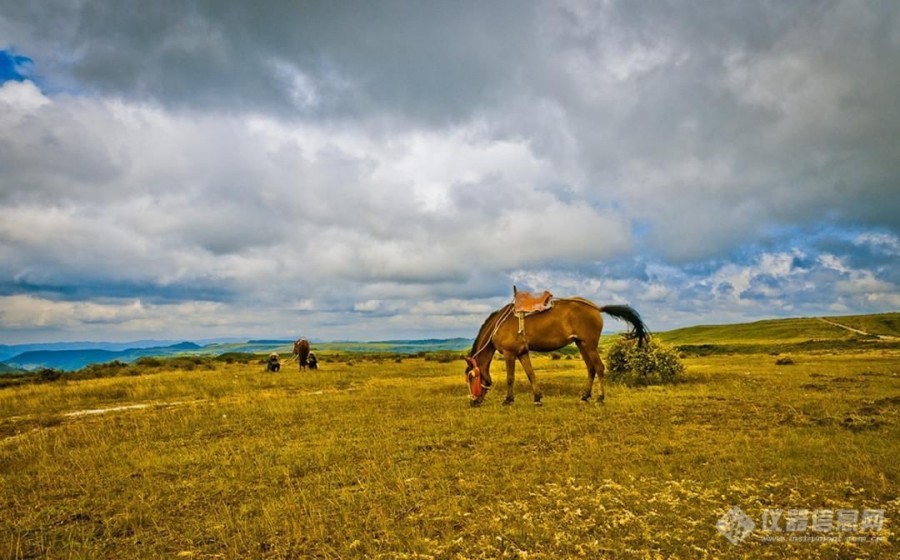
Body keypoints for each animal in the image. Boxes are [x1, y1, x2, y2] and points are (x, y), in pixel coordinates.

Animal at [464, 300, 648, 404]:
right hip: (582, 345)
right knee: (591, 369)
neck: (498, 325)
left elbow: (510, 378)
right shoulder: (522, 353)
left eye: (472, 377)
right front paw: (537, 398)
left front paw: (508, 400)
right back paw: (585, 396)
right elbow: (531, 374)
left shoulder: (510, 354)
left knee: (599, 368)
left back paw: (600, 398)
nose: (473, 401)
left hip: (589, 345)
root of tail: (596, 308)